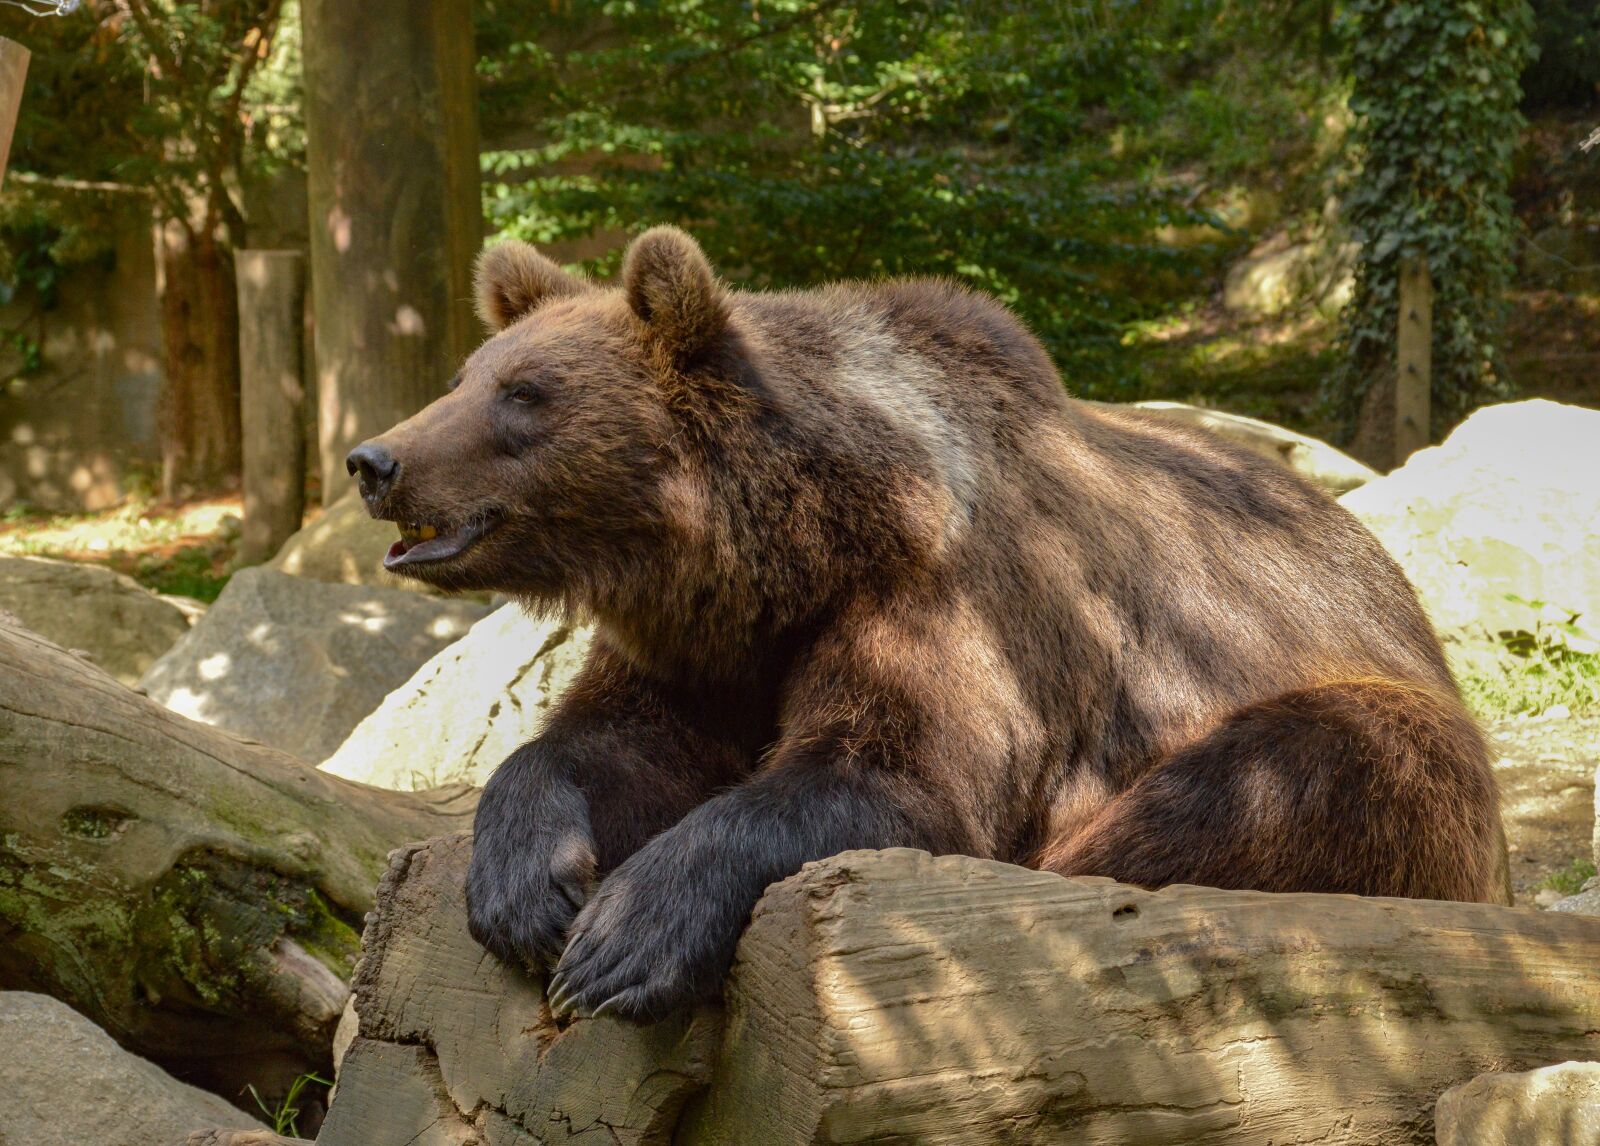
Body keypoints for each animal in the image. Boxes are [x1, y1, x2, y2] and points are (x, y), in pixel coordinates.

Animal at [346, 226, 1506, 1022]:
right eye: (465, 378)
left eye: (526, 394)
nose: (375, 459)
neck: (801, 545)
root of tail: (1386, 569)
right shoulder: (705, 644)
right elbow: (610, 744)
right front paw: (524, 884)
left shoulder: (957, 597)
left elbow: (895, 772)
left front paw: (625, 942)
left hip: (1354, 709)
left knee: (1306, 766)